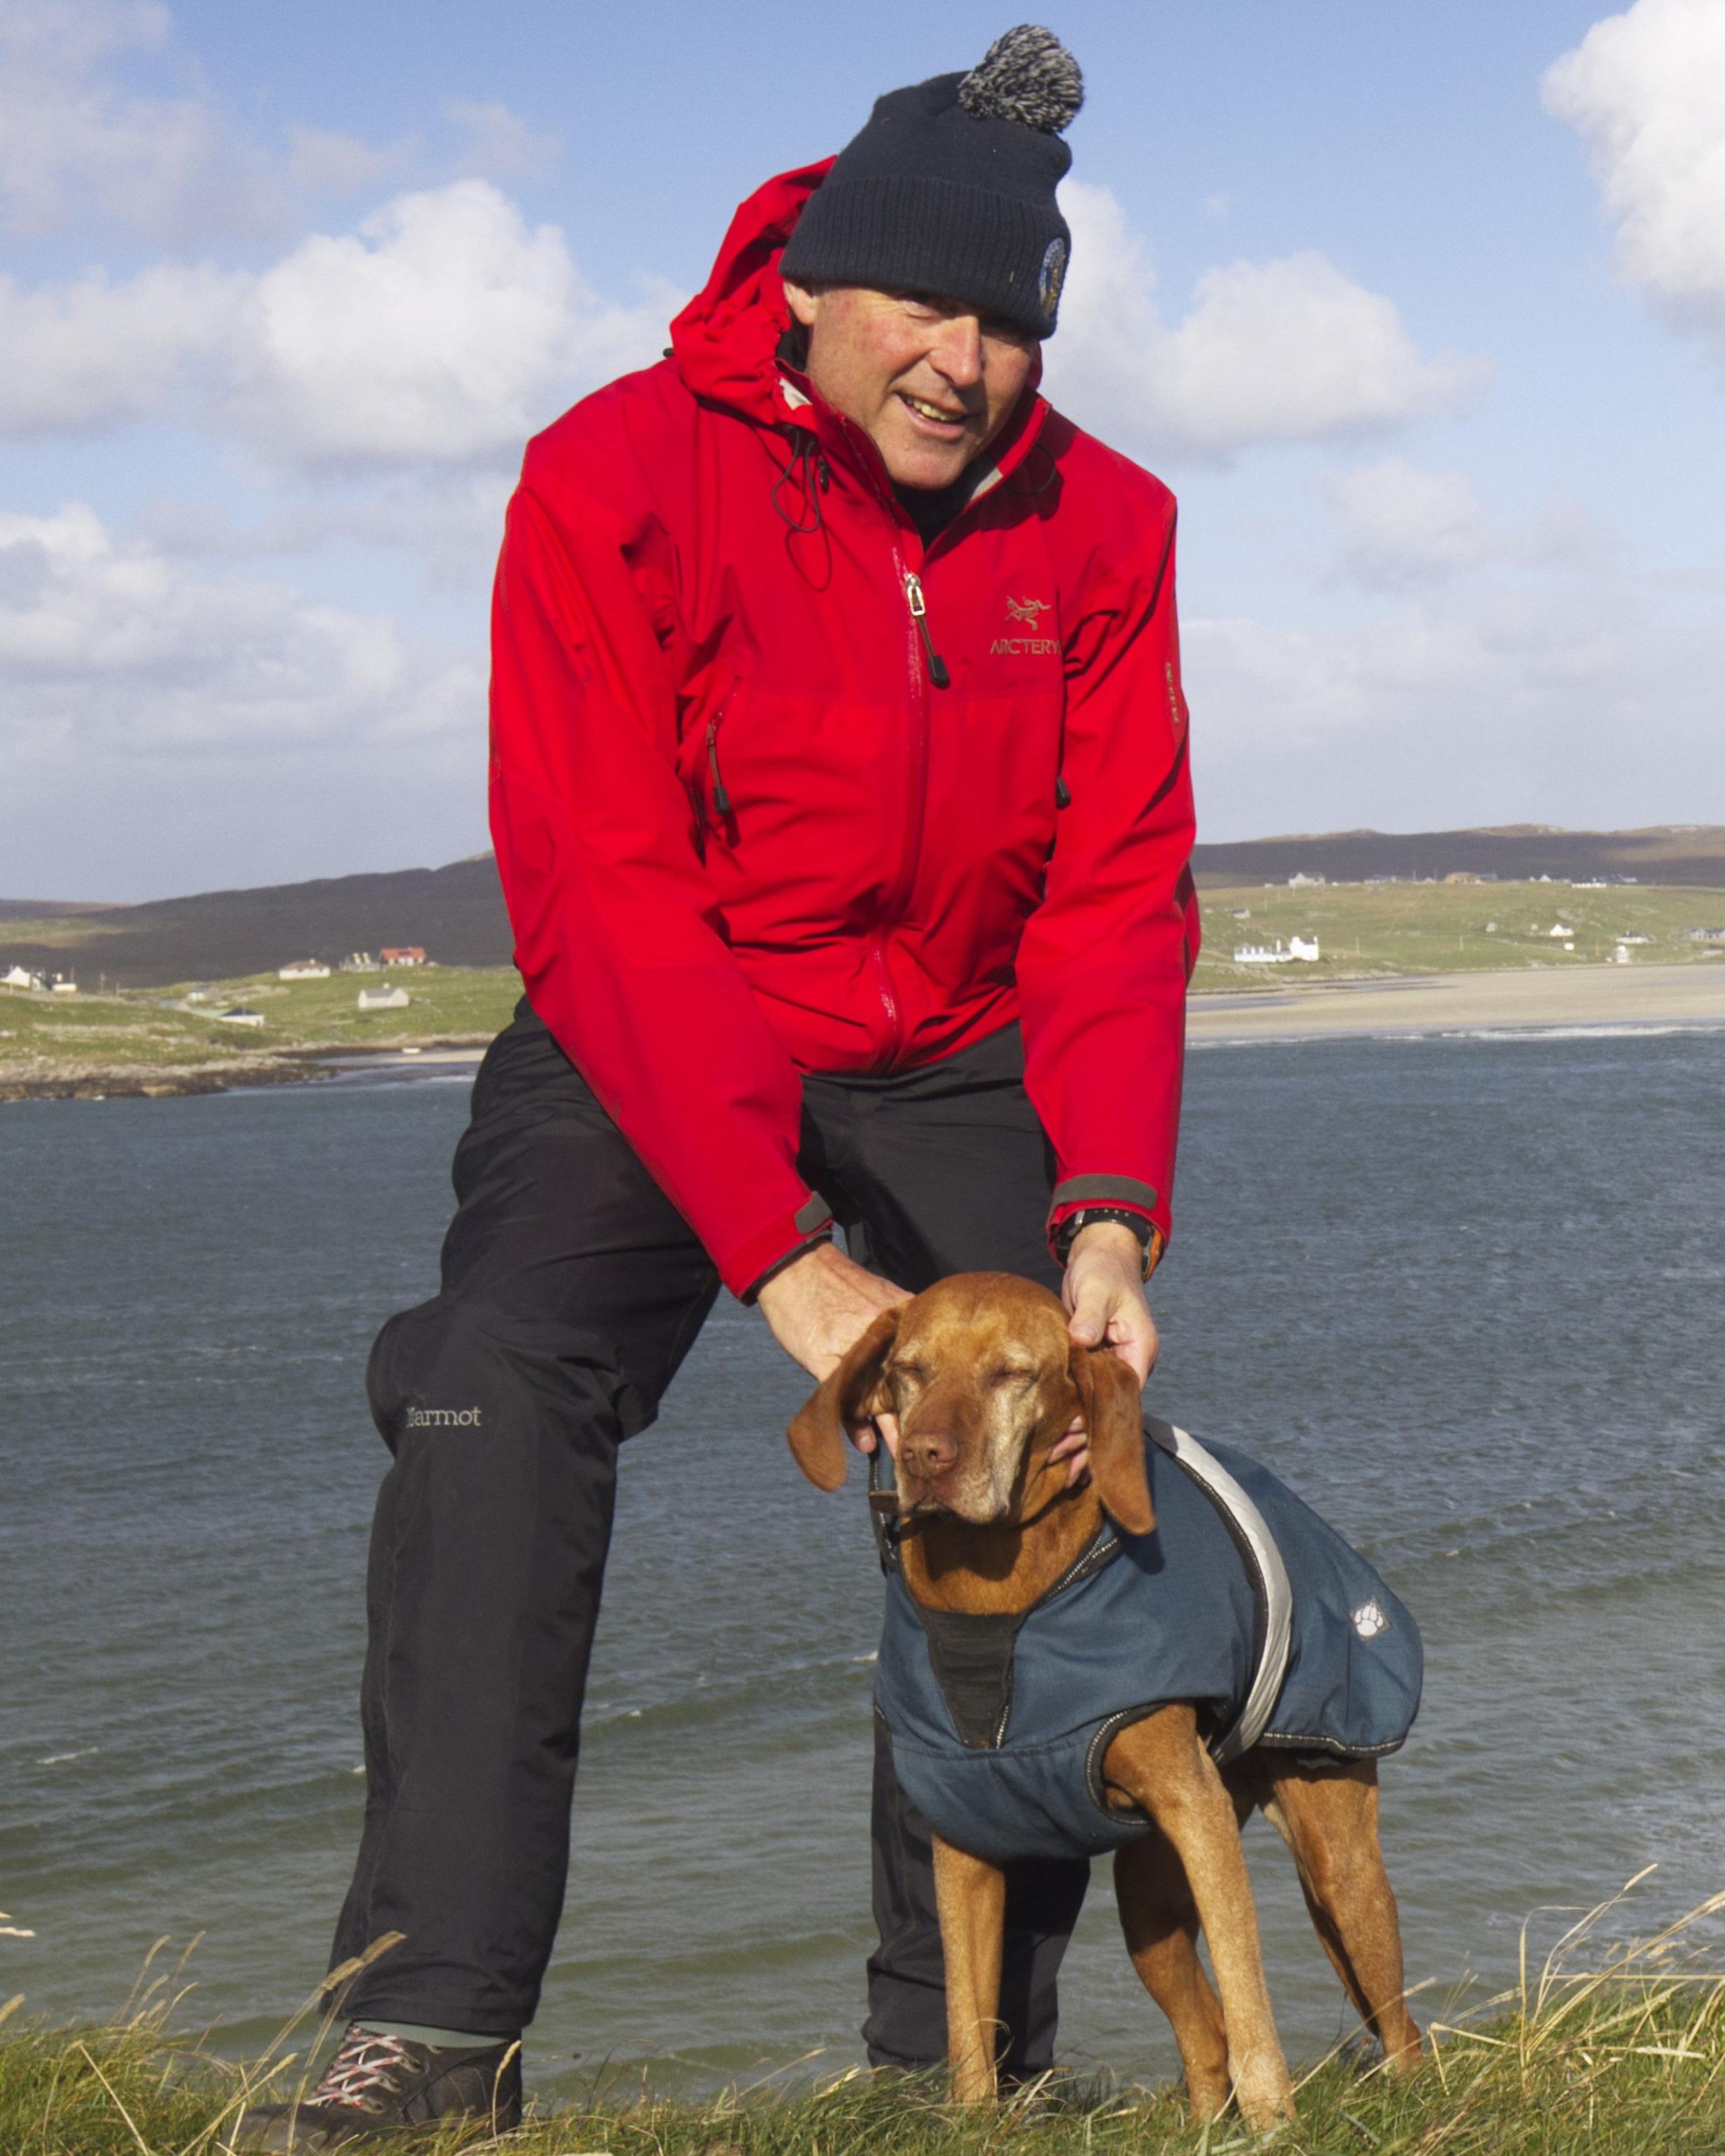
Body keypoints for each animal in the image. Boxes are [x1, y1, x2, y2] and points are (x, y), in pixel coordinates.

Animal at [789, 1268, 1423, 2130]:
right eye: (909, 1370)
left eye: (1012, 1373)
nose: (923, 1454)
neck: (996, 1602)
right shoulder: (964, 1837)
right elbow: (966, 2019)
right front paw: (974, 2119)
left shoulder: (1197, 1811)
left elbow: (1249, 1995)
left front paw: (1277, 2124)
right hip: (1146, 1902)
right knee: (1203, 2041)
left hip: (1340, 1871)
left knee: (1393, 2025)